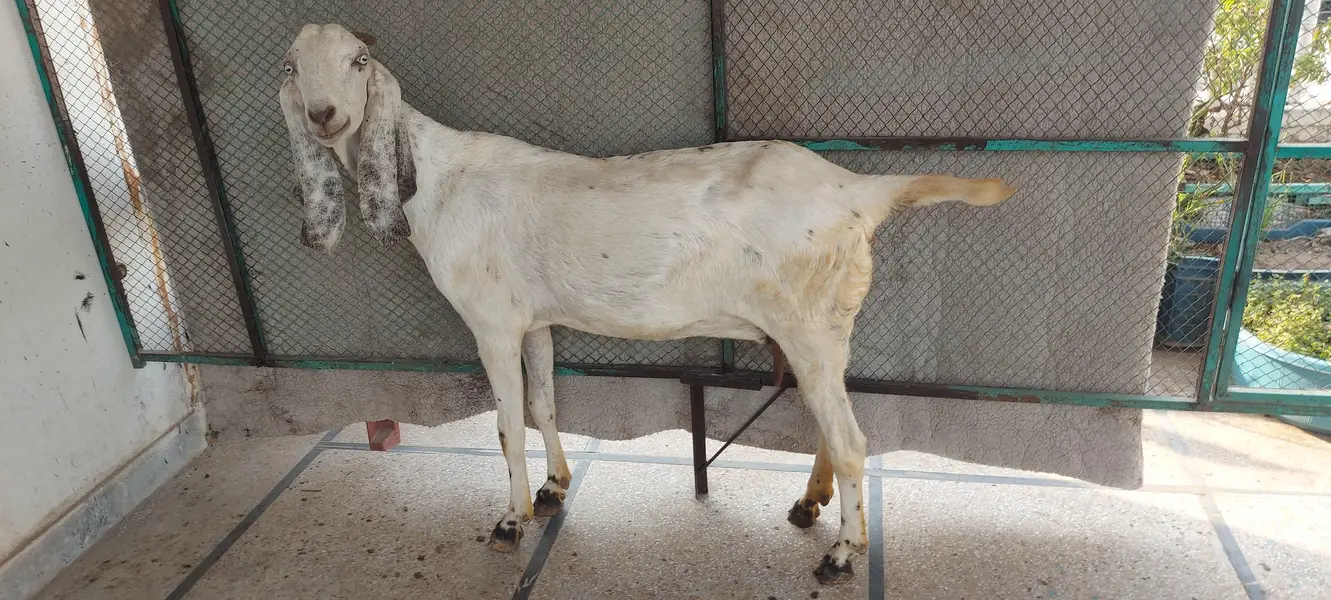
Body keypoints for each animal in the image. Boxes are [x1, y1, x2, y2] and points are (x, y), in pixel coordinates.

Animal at [280, 23, 1016, 585]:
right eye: (291, 65)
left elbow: (507, 423)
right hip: (821, 331)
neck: (437, 178)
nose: (325, 116)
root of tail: (856, 191)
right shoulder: (534, 321)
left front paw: (511, 520)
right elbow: (544, 403)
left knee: (852, 438)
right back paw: (810, 505)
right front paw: (553, 489)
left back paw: (840, 554)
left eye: (359, 60)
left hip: (808, 327)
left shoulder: (490, 322)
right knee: (831, 425)